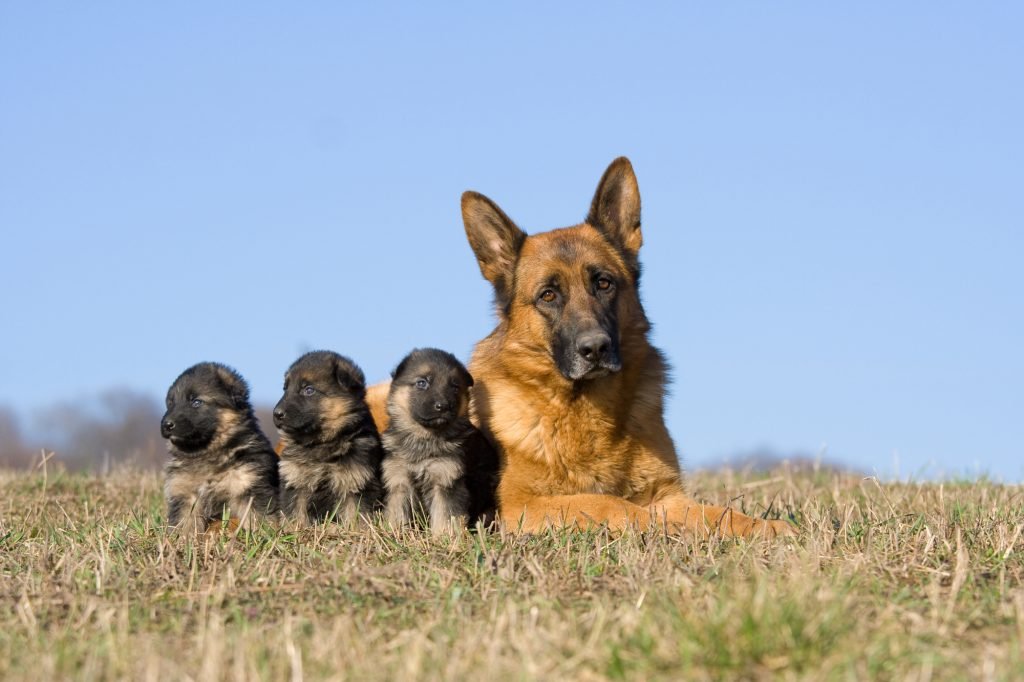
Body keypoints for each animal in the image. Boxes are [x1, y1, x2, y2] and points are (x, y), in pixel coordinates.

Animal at [160, 360, 280, 532]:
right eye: (170, 404)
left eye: (196, 402)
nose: (166, 424)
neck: (206, 452)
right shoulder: (185, 494)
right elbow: (184, 524)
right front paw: (182, 539)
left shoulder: (249, 485)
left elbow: (258, 517)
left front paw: (264, 535)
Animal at [272, 348, 385, 522]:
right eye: (285, 389)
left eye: (308, 390)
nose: (276, 414)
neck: (322, 442)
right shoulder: (295, 482)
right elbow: (295, 515)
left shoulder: (354, 483)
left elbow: (356, 517)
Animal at [380, 348, 499, 532]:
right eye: (422, 383)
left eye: (455, 387)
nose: (443, 406)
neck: (425, 437)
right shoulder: (399, 480)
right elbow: (397, 513)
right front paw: (395, 533)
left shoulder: (446, 480)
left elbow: (445, 516)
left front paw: (444, 536)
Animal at [460, 155, 794, 536]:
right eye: (548, 295)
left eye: (604, 283)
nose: (595, 348)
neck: (585, 410)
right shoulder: (520, 507)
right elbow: (607, 503)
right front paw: (654, 524)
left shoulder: (668, 494)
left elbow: (717, 513)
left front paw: (763, 526)